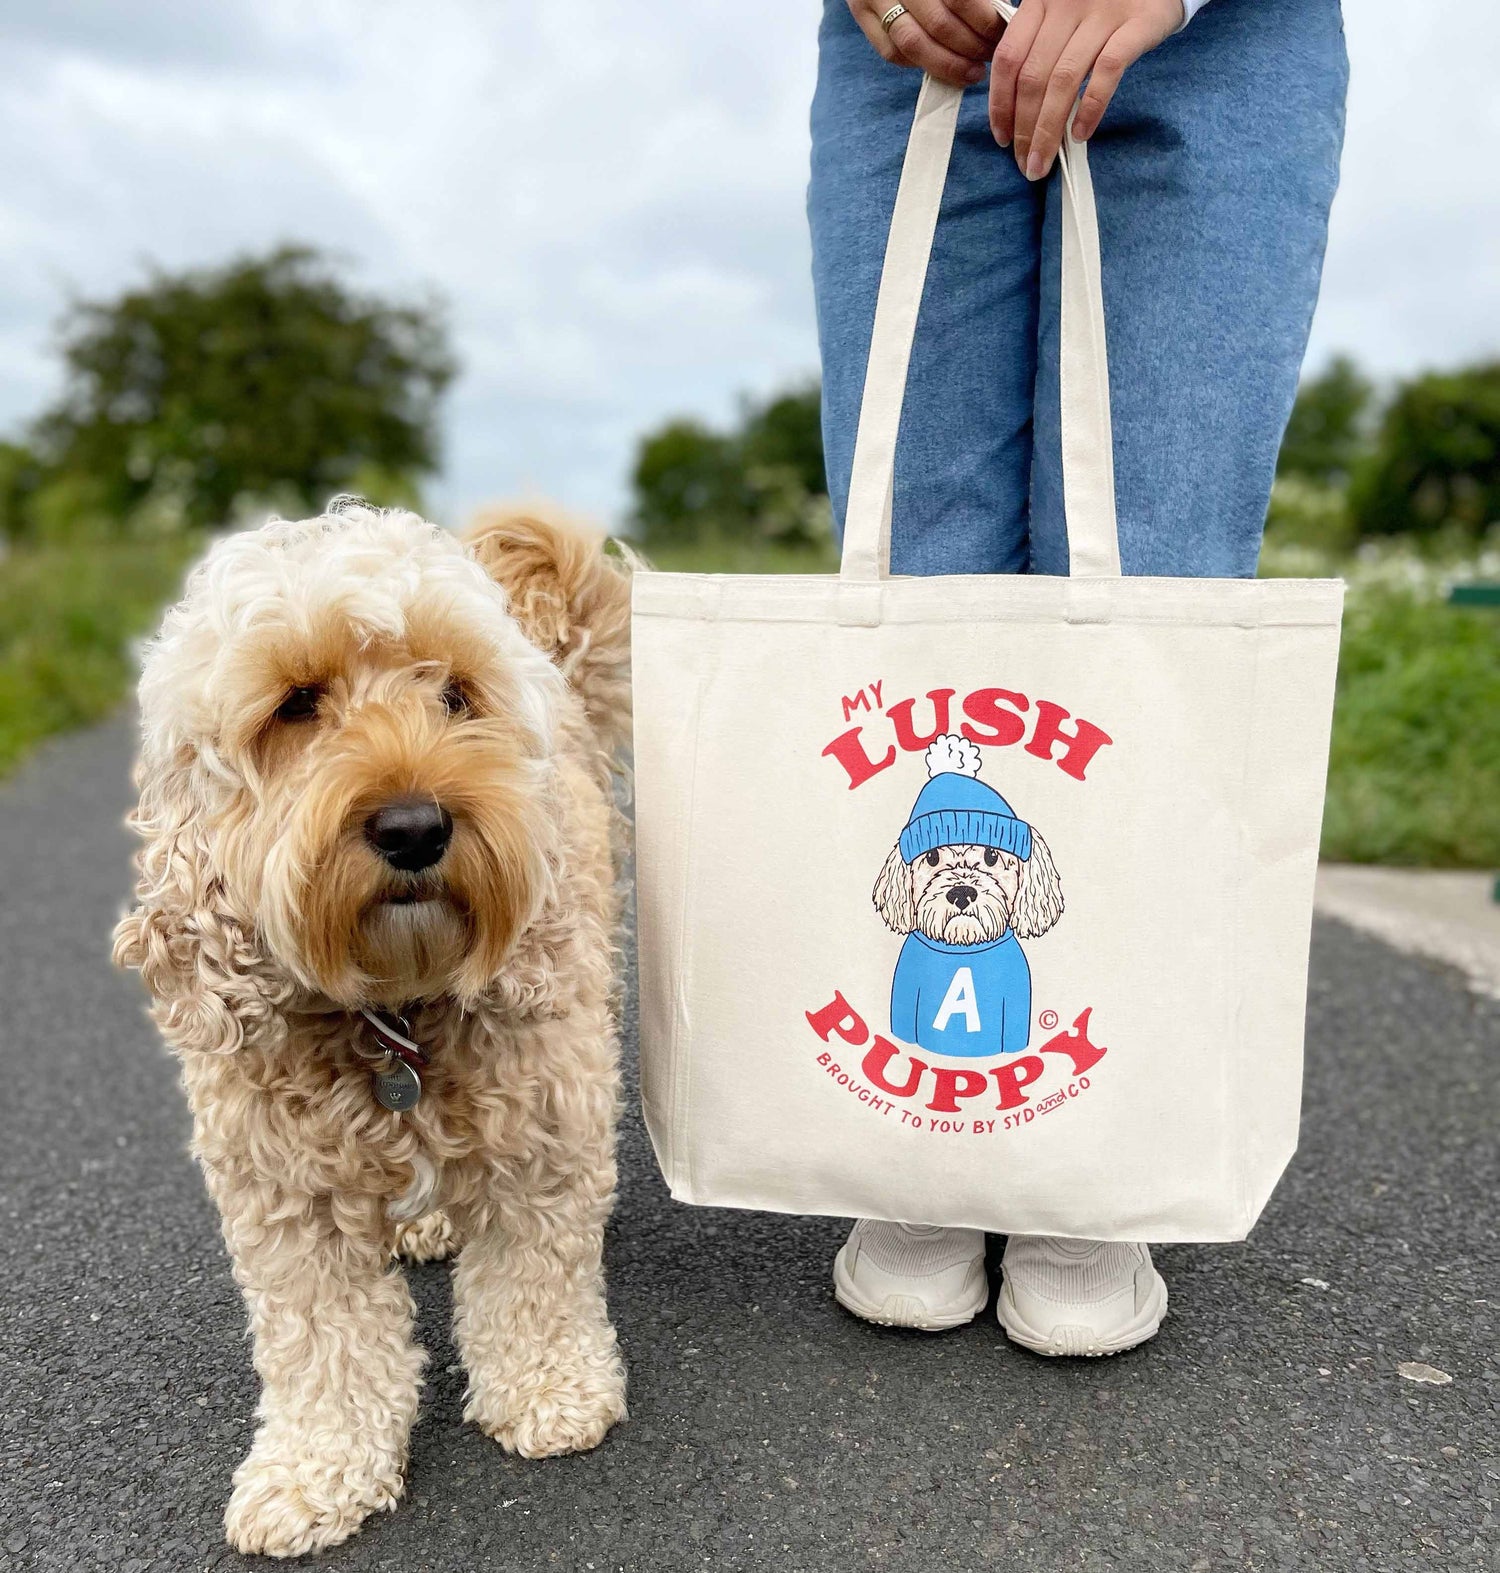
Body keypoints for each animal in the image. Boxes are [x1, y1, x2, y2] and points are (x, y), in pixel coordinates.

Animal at [113, 497, 628, 1554]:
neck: (393, 1007)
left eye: (455, 694)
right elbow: (322, 1340)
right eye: (296, 704)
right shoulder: (281, 1195)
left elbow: (537, 1274)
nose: (415, 827)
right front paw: (315, 1470)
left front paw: (550, 1391)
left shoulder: (548, 1127)